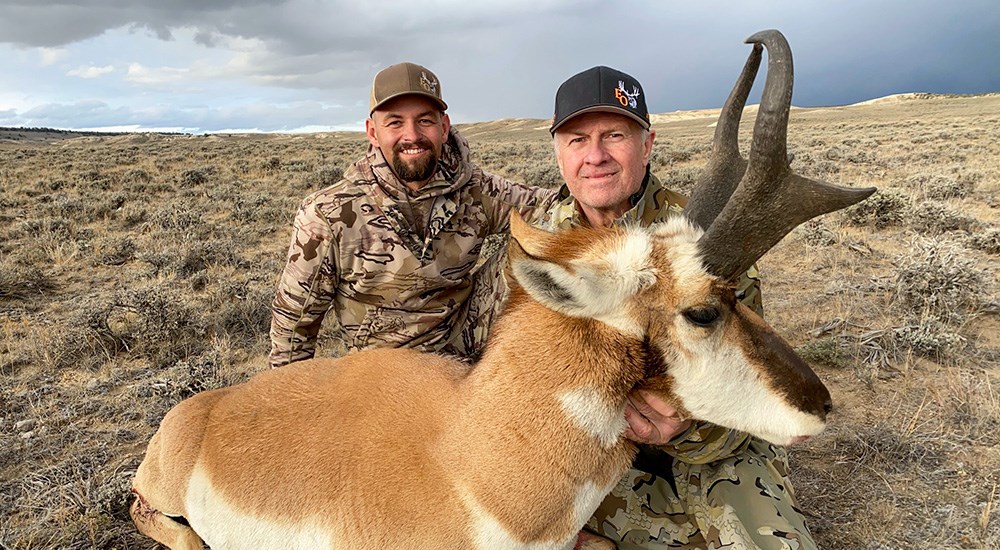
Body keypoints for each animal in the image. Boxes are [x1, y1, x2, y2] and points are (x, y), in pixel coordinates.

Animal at [131, 31, 876, 550]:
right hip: (156, 494)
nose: (822, 404)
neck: (469, 452)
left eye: (742, 294)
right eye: (702, 311)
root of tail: (200, 412)